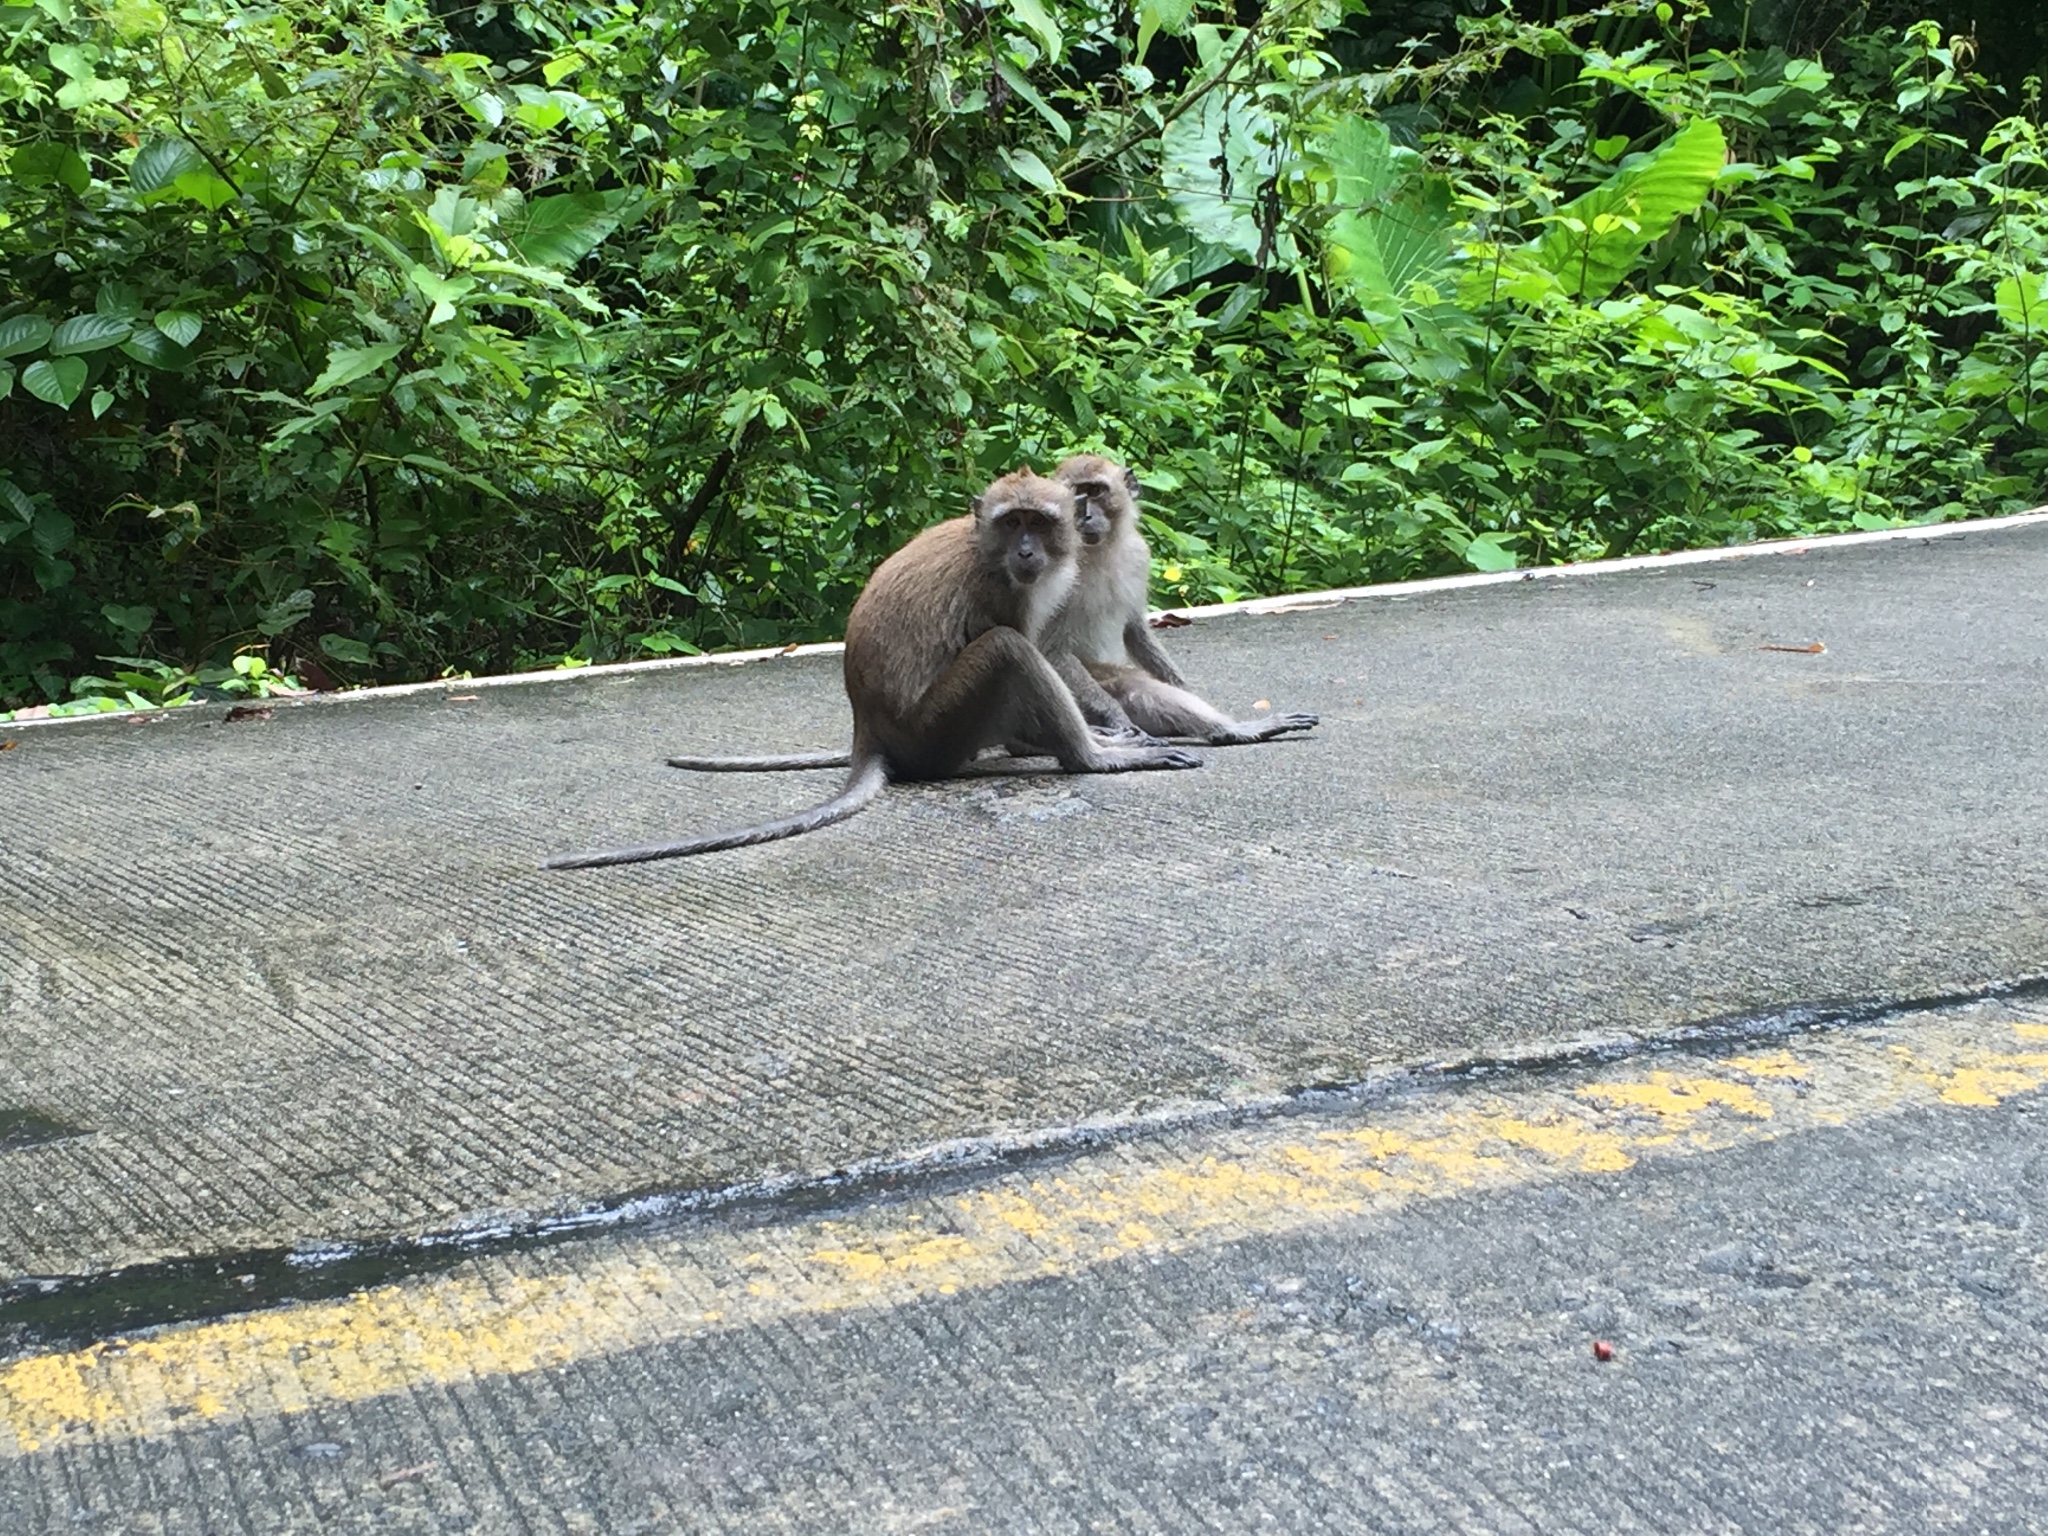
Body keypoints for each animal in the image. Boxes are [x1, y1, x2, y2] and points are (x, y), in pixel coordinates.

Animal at [552, 468, 1204, 872]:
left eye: (1039, 523)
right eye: (1012, 523)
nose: (1026, 552)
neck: (988, 552)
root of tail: (867, 729)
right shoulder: (1000, 592)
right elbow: (1027, 644)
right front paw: (1103, 736)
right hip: (938, 731)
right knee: (1005, 652)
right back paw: (1090, 759)